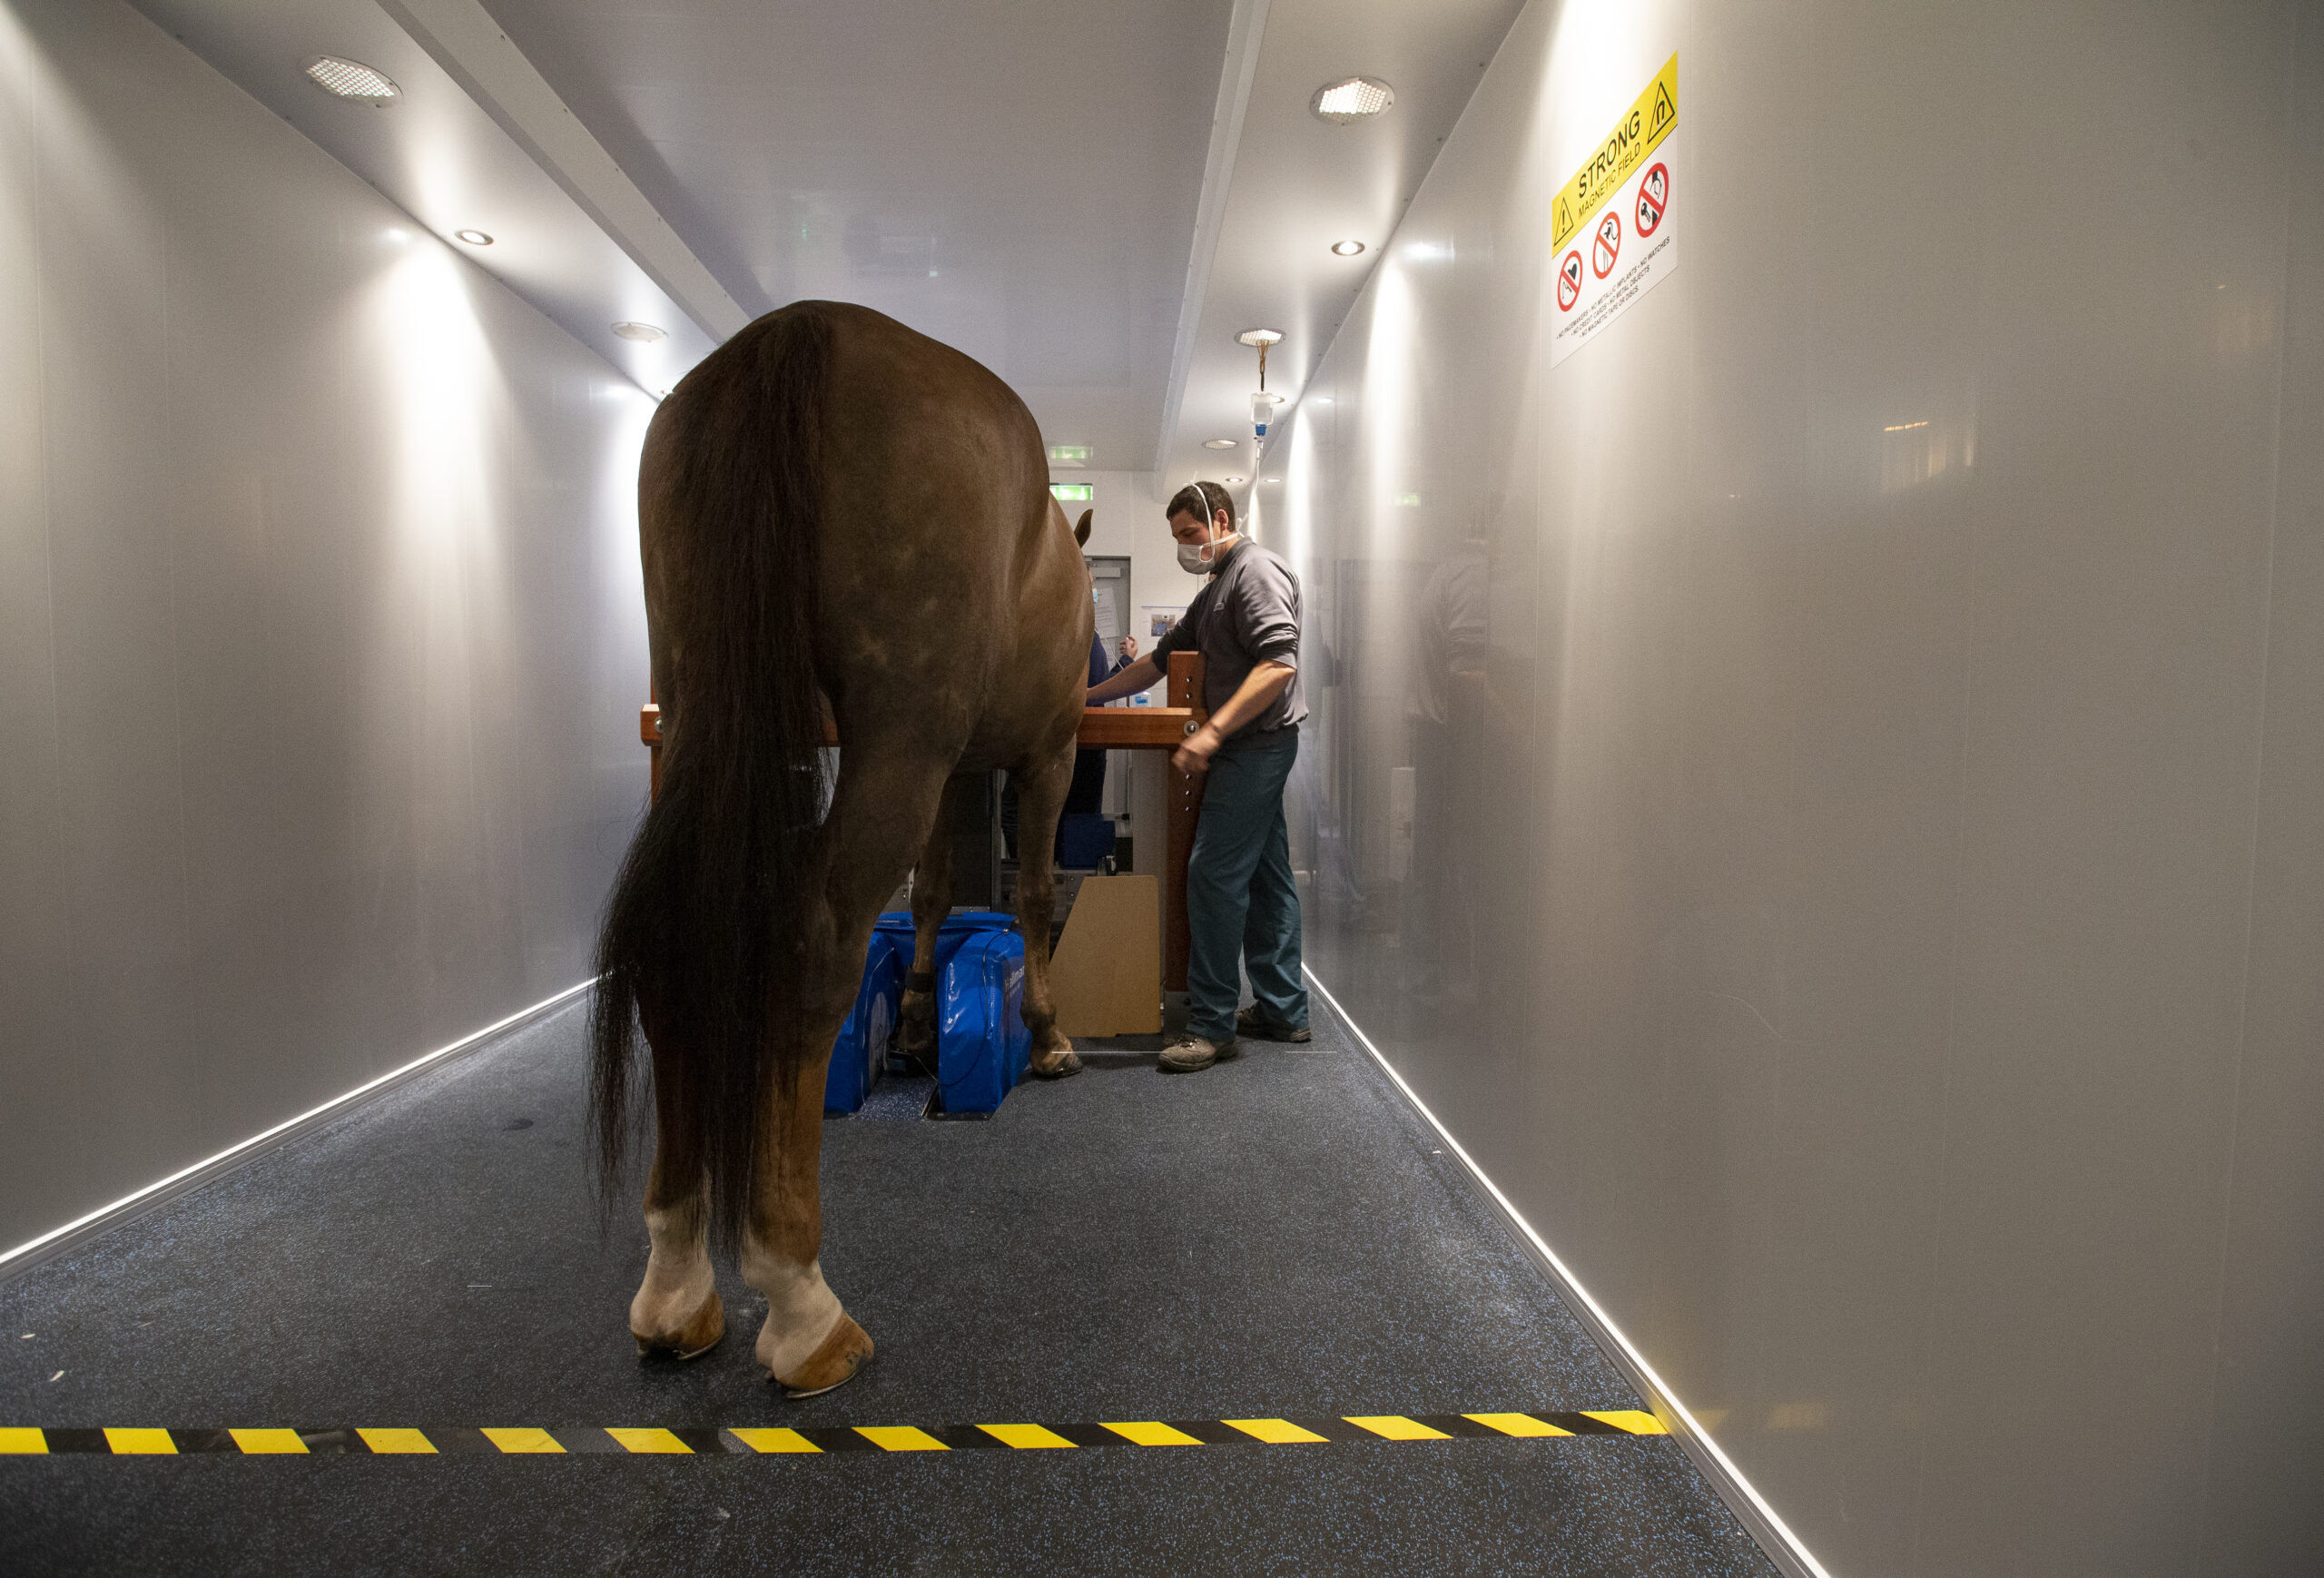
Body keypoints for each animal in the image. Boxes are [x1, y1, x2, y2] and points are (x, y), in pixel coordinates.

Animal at [586, 300, 1082, 1394]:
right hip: (899, 734)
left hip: (715, 708)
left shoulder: (957, 772)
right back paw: (803, 1303)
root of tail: (800, 333)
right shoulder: (1043, 755)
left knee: (676, 942)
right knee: (816, 943)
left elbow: (935, 894)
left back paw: (677, 1287)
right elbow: (1026, 893)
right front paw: (1049, 1036)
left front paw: (915, 1023)